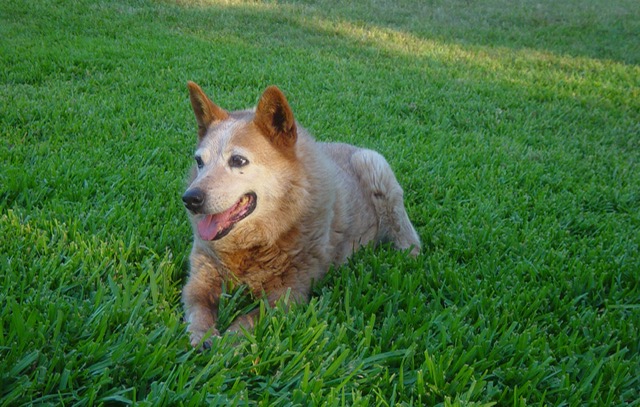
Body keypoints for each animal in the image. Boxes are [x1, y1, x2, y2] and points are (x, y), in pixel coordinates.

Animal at [180, 82, 422, 348]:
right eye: (199, 161)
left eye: (238, 160)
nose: (190, 198)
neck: (254, 243)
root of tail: (349, 146)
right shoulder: (199, 278)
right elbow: (199, 307)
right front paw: (202, 334)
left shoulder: (287, 295)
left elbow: (248, 319)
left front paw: (227, 343)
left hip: (376, 168)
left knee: (409, 237)